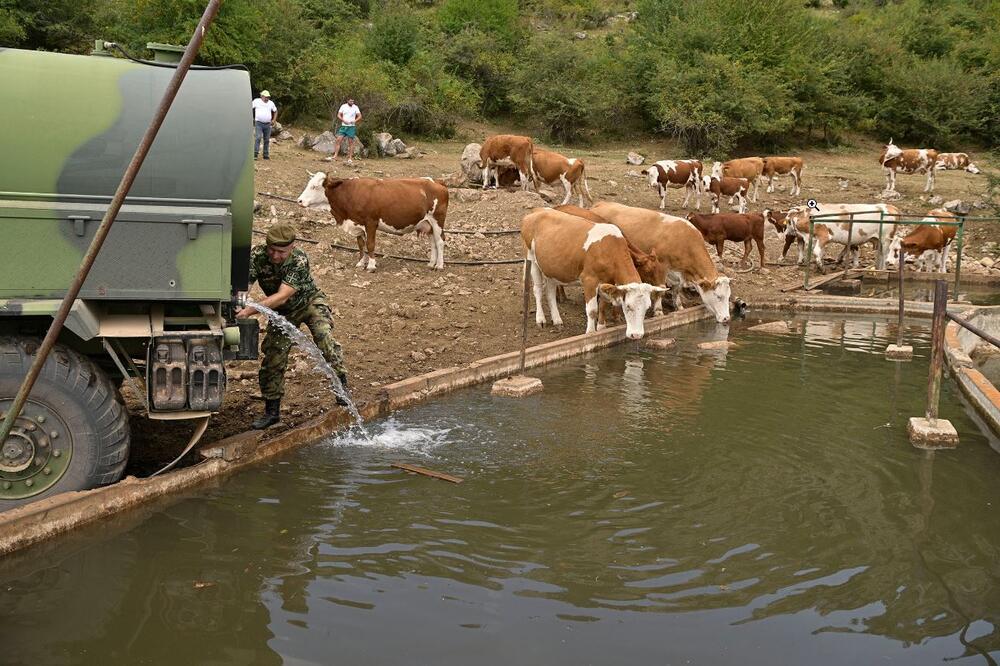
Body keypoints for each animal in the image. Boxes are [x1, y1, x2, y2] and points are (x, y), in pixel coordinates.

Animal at [294, 175, 448, 274]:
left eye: (314, 187)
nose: (299, 201)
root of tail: (437, 182)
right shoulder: (357, 223)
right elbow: (361, 245)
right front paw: (361, 263)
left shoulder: (371, 222)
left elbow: (370, 244)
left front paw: (371, 266)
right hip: (428, 224)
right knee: (433, 243)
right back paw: (431, 263)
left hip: (437, 221)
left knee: (440, 242)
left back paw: (439, 265)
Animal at [520, 208, 668, 338]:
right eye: (628, 306)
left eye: (646, 307)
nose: (636, 335)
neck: (610, 249)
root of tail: (535, 212)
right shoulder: (589, 280)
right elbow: (592, 310)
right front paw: (590, 333)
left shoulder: (607, 281)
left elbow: (603, 304)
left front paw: (601, 328)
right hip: (531, 258)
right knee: (538, 290)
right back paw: (540, 319)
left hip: (552, 268)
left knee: (550, 291)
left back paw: (557, 320)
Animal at [588, 200, 732, 322]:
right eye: (718, 296)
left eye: (728, 296)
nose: (726, 318)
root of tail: (600, 204)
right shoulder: (662, 267)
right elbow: (661, 289)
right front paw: (658, 311)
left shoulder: (677, 272)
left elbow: (677, 289)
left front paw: (679, 306)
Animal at [780, 201, 908, 268]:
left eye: (788, 222)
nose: (785, 234)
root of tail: (891, 207)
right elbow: (819, 252)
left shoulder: (824, 236)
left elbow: (816, 251)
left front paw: (821, 267)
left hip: (886, 239)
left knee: (885, 255)